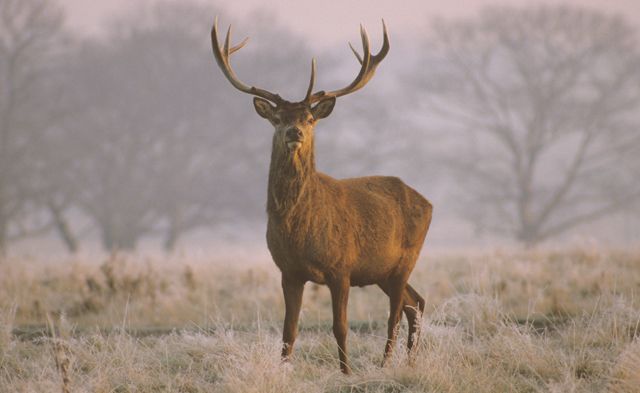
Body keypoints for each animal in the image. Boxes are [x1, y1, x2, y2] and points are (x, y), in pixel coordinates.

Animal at [212, 17, 432, 374]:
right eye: (278, 118)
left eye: (310, 118)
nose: (295, 132)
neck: (299, 229)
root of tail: (428, 202)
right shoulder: (288, 271)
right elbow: (288, 329)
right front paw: (284, 370)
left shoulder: (341, 267)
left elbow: (339, 326)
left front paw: (346, 373)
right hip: (381, 270)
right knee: (416, 302)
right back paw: (410, 362)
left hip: (406, 258)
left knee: (396, 313)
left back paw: (387, 363)